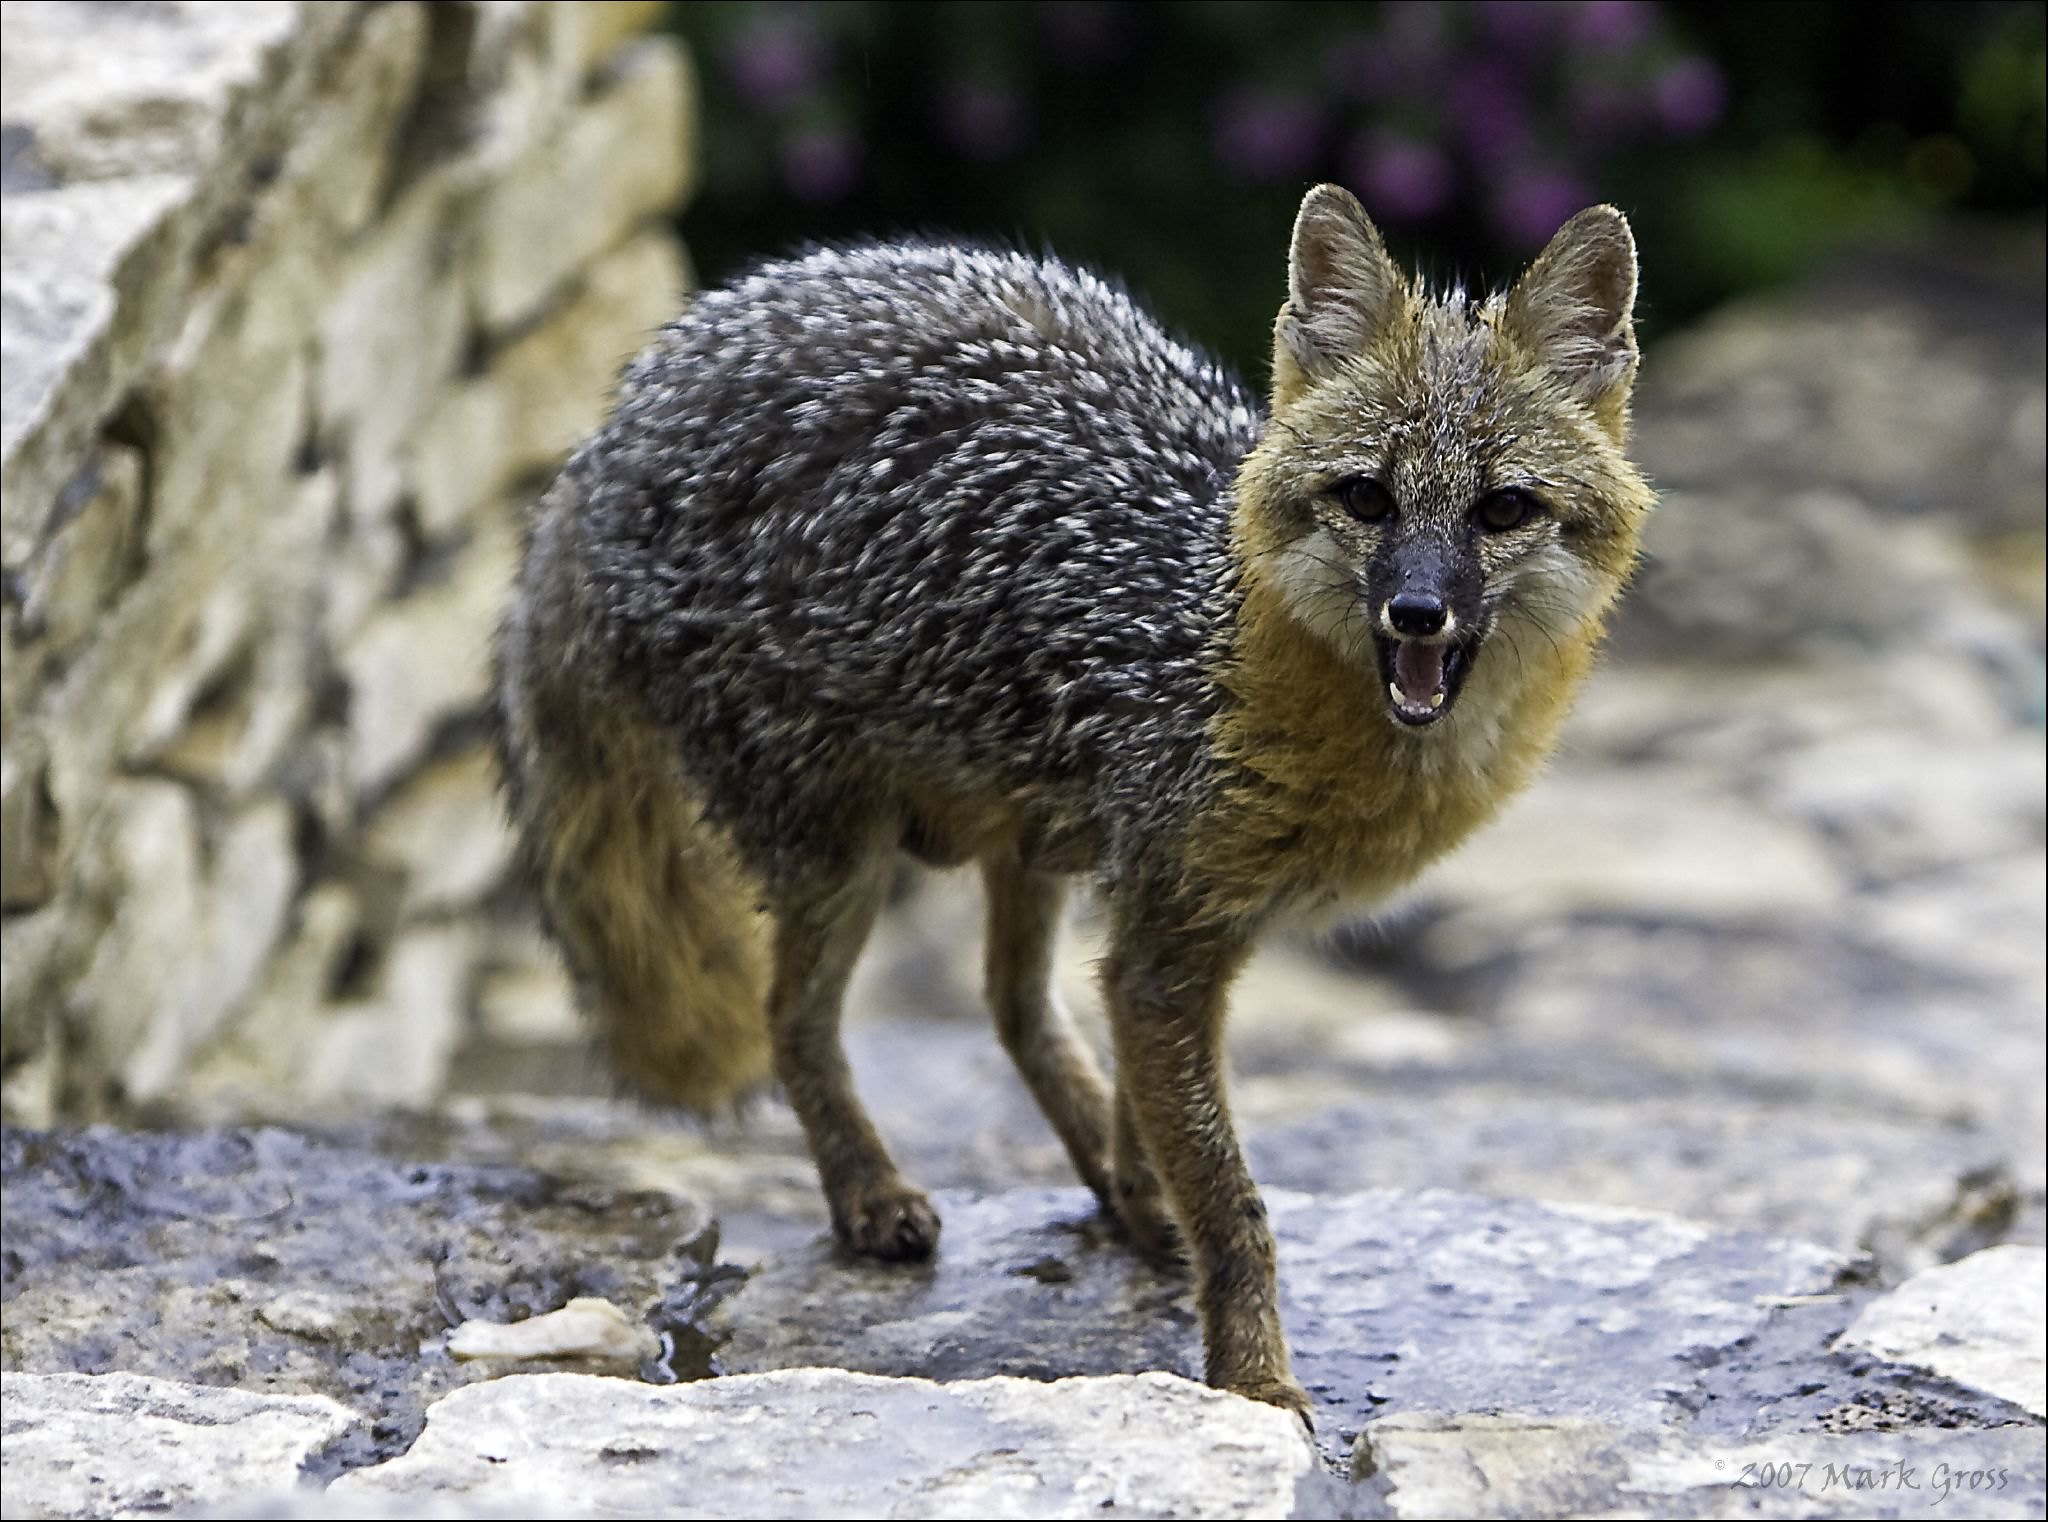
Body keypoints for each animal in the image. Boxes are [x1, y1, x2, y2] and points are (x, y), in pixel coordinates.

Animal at [494, 183, 1655, 1423]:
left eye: (1501, 509)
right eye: (1365, 498)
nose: (1417, 613)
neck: (1220, 651)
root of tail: (614, 422)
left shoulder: (1167, 921)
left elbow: (1158, 1123)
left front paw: (1152, 1208)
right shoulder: (1165, 942)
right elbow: (1235, 1204)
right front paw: (1253, 1376)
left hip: (1027, 833)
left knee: (1011, 1007)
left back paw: (1101, 1187)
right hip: (841, 851)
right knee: (792, 1020)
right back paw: (869, 1195)